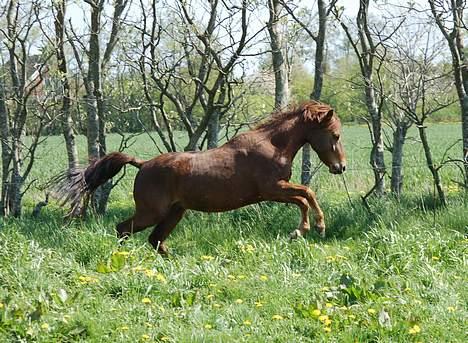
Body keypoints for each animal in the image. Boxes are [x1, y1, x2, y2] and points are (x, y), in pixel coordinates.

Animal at [56, 101, 346, 254]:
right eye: (335, 135)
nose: (341, 167)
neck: (272, 145)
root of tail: (143, 164)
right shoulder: (272, 189)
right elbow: (306, 195)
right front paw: (310, 228)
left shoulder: (276, 190)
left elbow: (305, 196)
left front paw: (306, 229)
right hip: (152, 213)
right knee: (123, 229)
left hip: (175, 212)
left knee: (155, 240)